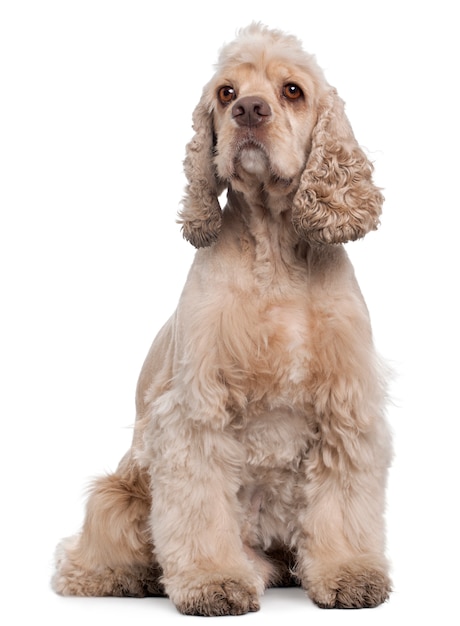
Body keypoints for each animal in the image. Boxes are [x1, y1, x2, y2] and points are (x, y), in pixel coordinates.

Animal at [53, 24, 392, 616]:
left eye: (292, 90)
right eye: (226, 92)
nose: (250, 110)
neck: (275, 254)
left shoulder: (346, 402)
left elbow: (343, 500)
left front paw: (349, 572)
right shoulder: (197, 408)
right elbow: (200, 504)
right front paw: (213, 581)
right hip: (117, 494)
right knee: (88, 558)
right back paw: (134, 577)